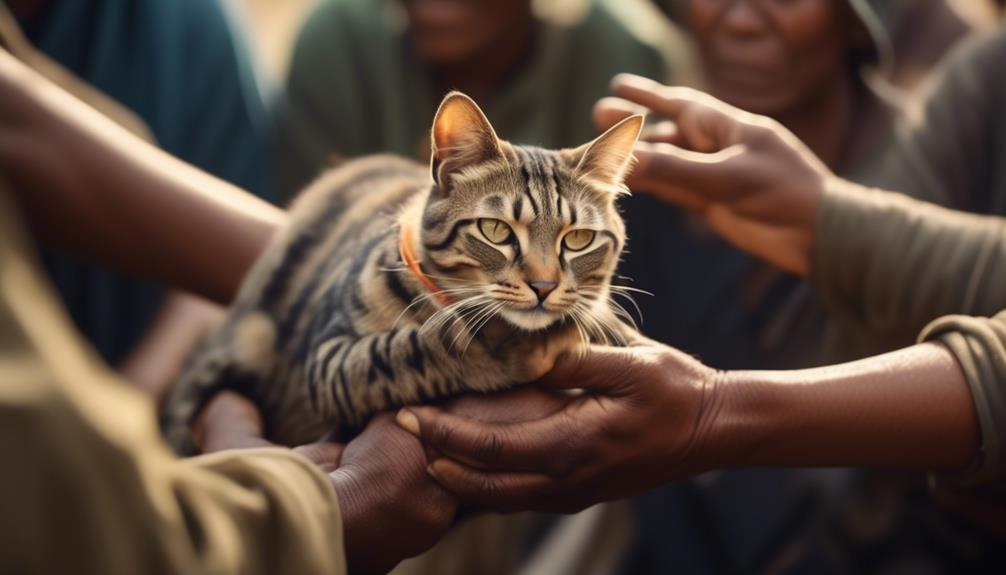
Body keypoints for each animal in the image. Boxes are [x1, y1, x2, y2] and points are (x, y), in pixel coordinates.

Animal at [160, 91, 639, 452]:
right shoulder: (328, 358)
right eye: (496, 230)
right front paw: (505, 342)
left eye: (578, 239)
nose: (544, 286)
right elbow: (413, 347)